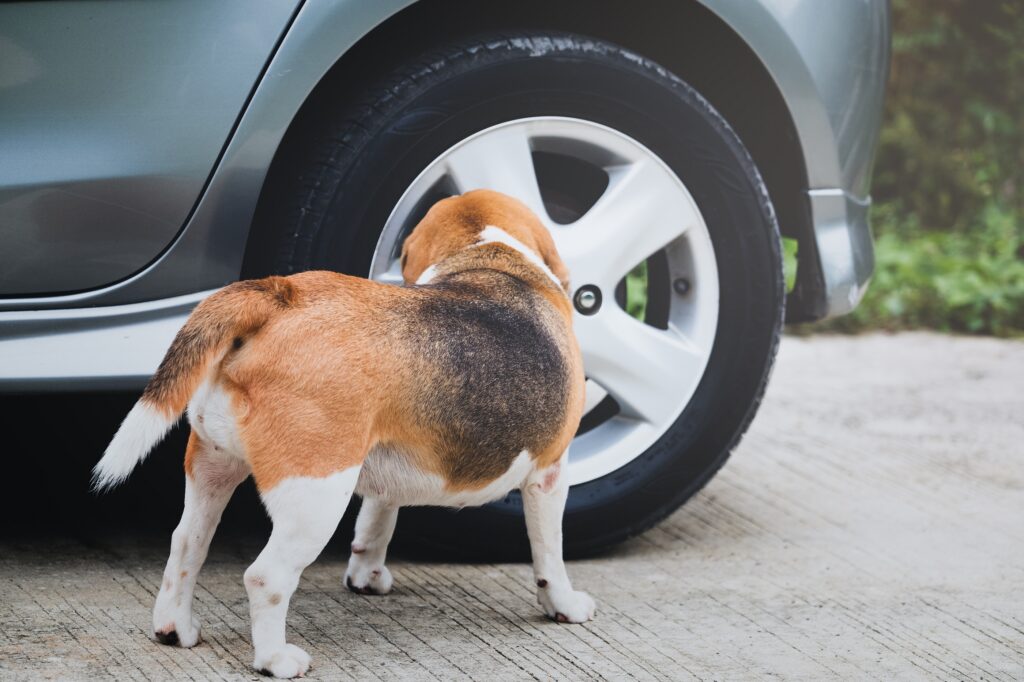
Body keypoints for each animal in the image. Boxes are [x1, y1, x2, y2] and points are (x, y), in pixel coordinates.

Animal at [96, 189, 598, 675]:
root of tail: (281, 294)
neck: (487, 255)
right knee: (265, 577)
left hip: (212, 465)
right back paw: (276, 660)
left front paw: (367, 576)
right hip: (316, 496)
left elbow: (377, 519)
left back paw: (173, 627)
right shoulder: (550, 473)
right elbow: (549, 552)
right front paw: (563, 605)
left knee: (185, 544)